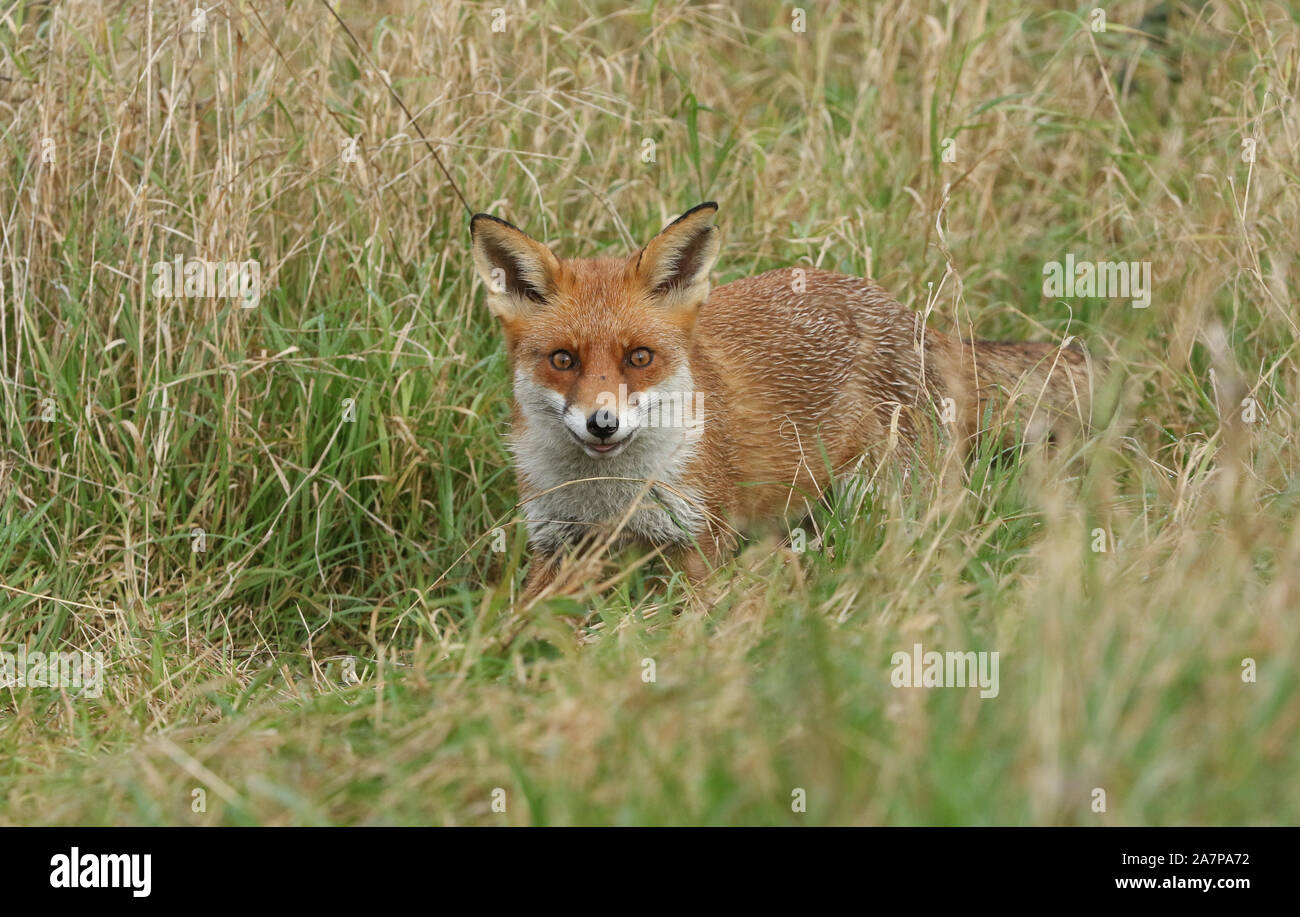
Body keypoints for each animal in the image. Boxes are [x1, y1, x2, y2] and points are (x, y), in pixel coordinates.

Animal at [469, 202, 1091, 602]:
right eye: (563, 360)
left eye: (639, 357)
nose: (603, 423)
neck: (609, 497)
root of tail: (915, 319)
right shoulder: (555, 545)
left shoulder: (699, 543)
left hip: (884, 500)